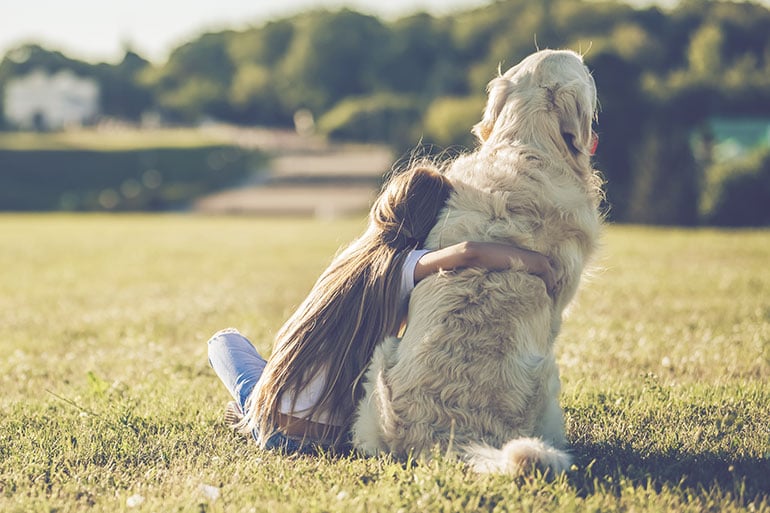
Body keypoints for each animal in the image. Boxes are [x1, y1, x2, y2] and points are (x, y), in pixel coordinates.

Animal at [352, 50, 604, 474]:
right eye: (585, 72)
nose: (590, 62)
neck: (526, 145)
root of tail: (447, 434)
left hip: (380, 361)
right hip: (548, 375)